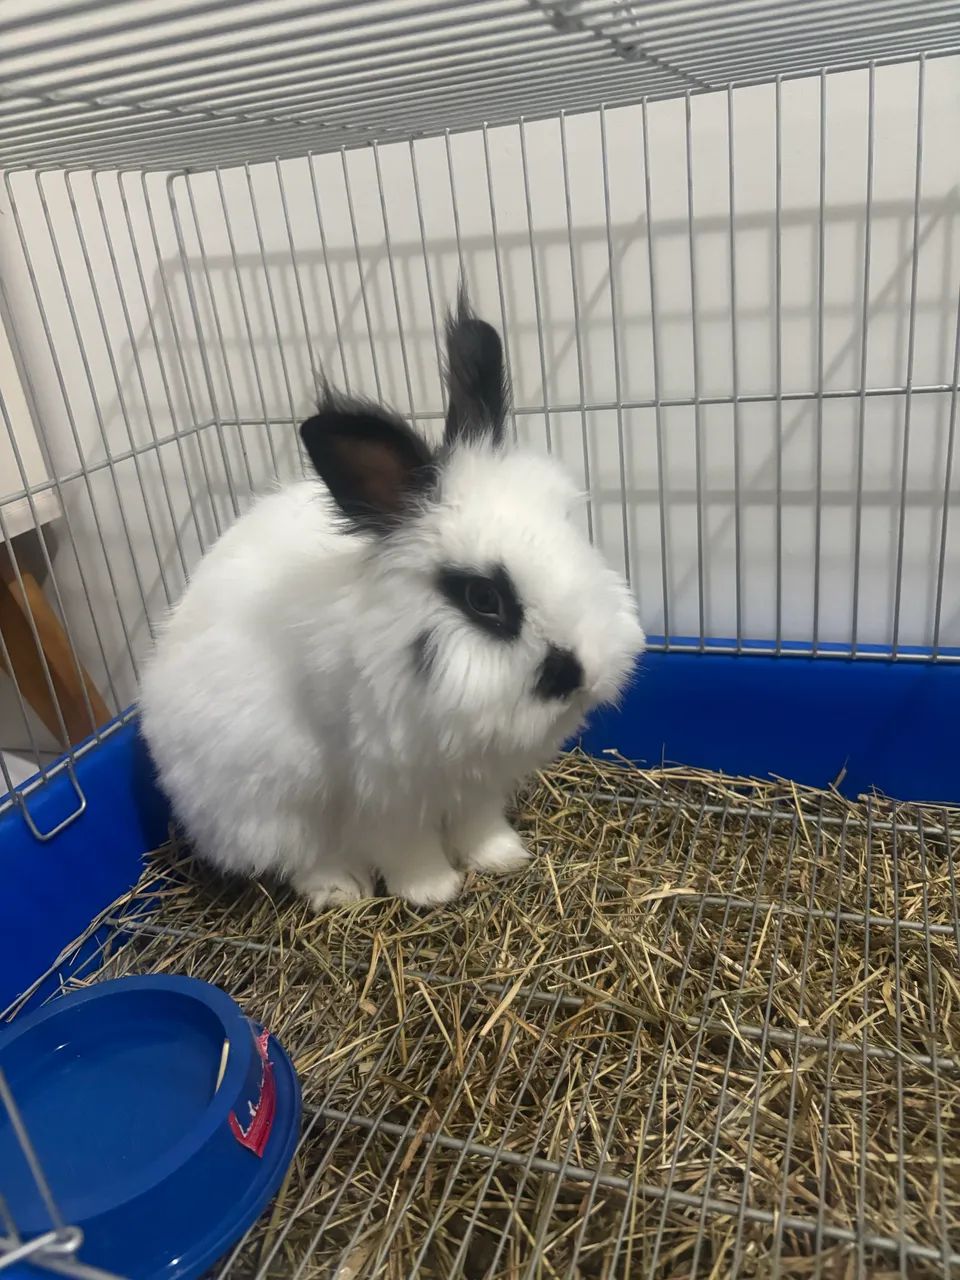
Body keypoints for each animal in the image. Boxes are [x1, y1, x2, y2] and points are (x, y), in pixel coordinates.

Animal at [139, 293, 645, 909]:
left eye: (571, 529)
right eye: (483, 597)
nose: (581, 674)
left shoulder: (477, 781)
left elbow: (477, 821)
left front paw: (501, 857)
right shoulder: (379, 788)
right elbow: (404, 843)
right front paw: (433, 890)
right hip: (271, 801)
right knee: (299, 855)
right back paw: (341, 889)